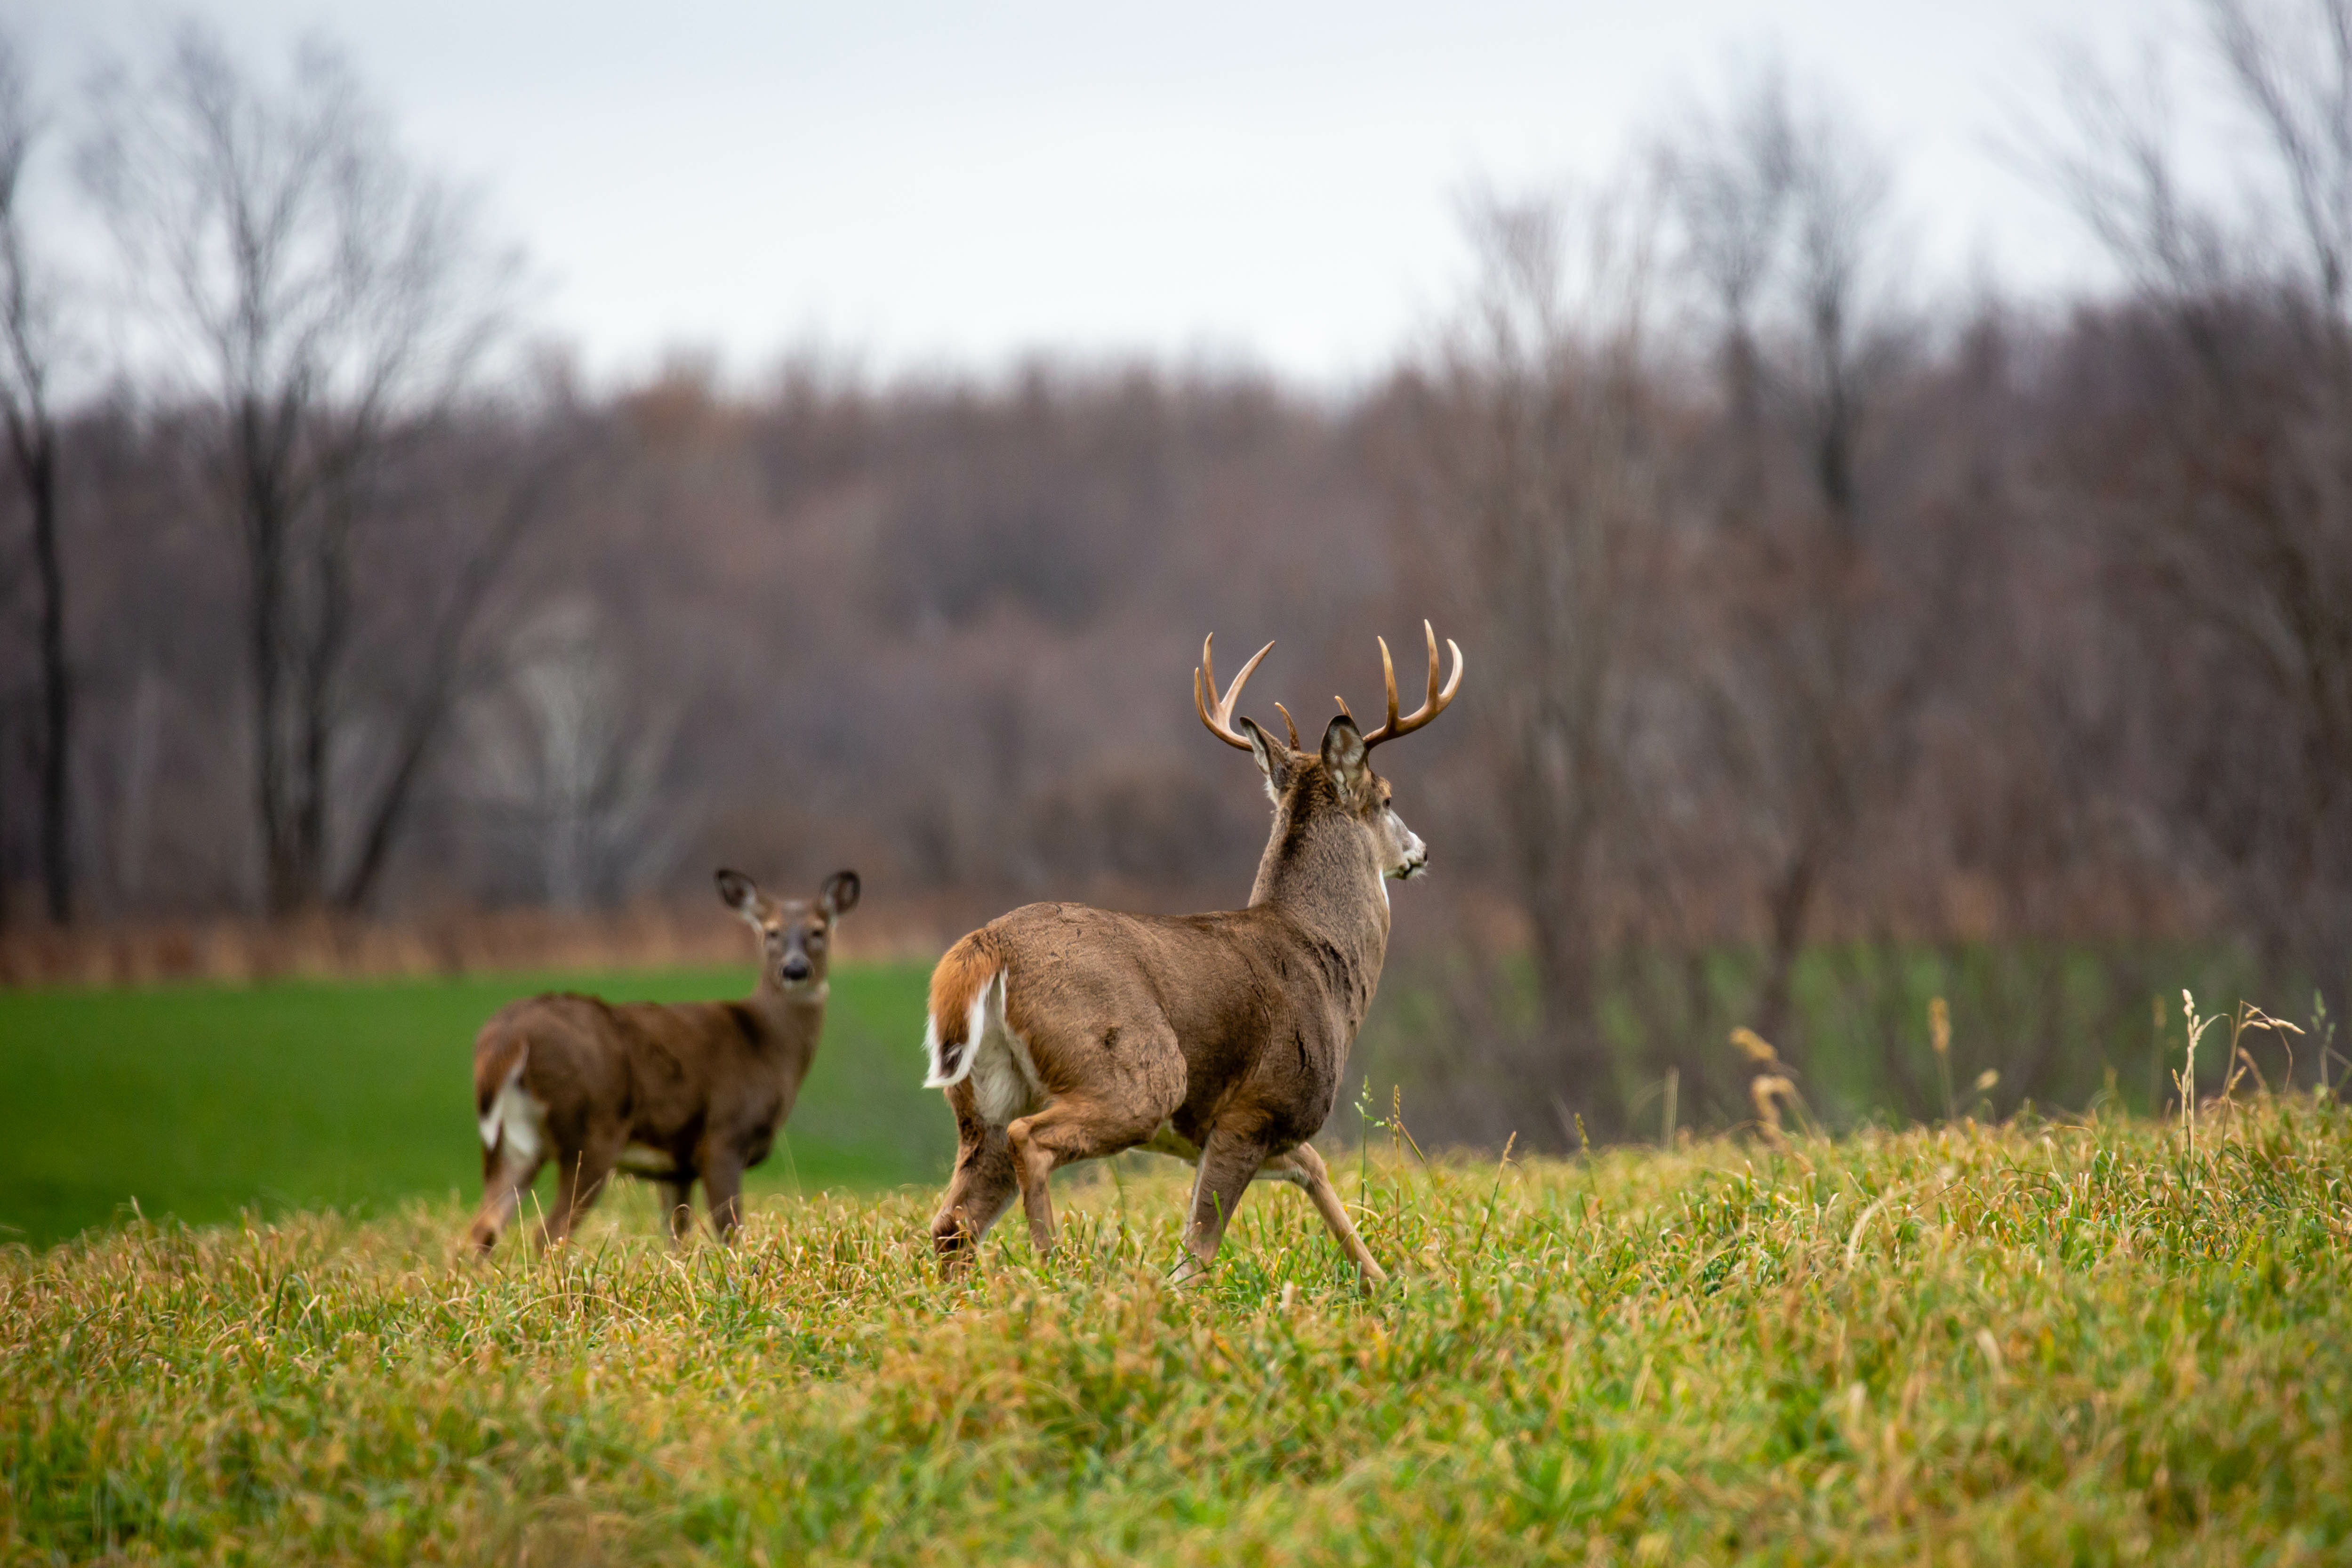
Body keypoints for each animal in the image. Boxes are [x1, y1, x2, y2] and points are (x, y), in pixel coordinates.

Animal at [464, 867, 860, 1254]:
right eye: (771, 931)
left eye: (818, 930)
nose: (795, 970)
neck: (766, 1044)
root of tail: (507, 1038)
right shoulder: (723, 1136)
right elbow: (730, 1233)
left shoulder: (677, 1167)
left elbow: (676, 1240)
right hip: (591, 1130)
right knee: (549, 1233)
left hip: (512, 1143)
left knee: (483, 1229)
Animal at [920, 623, 1462, 1286]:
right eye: (1386, 798)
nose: (1421, 851)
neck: (1322, 961)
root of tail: (986, 947)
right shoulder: (1255, 1106)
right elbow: (1197, 1255)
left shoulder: (1255, 1132)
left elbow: (1317, 1174)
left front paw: (1386, 1284)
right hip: (1136, 1070)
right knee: (1030, 1145)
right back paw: (1057, 1272)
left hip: (983, 1104)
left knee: (952, 1224)